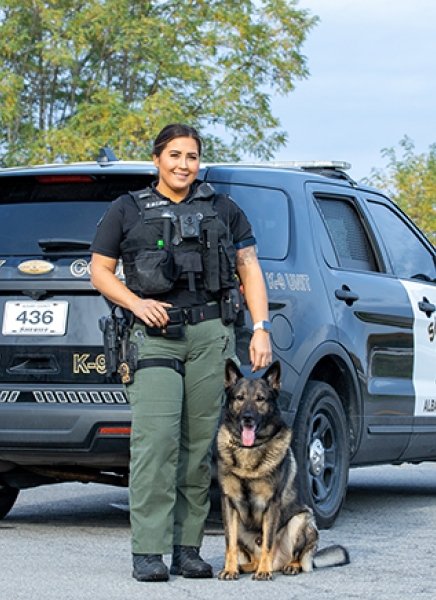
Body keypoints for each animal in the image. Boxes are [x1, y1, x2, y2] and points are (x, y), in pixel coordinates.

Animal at [216, 358, 350, 580]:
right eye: (240, 398)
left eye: (260, 399)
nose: (247, 417)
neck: (249, 450)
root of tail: (279, 563)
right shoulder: (229, 504)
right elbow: (230, 543)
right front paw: (230, 569)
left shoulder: (272, 504)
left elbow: (268, 541)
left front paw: (264, 572)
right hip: (243, 526)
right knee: (252, 557)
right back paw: (245, 567)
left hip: (301, 520)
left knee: (297, 557)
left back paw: (286, 566)